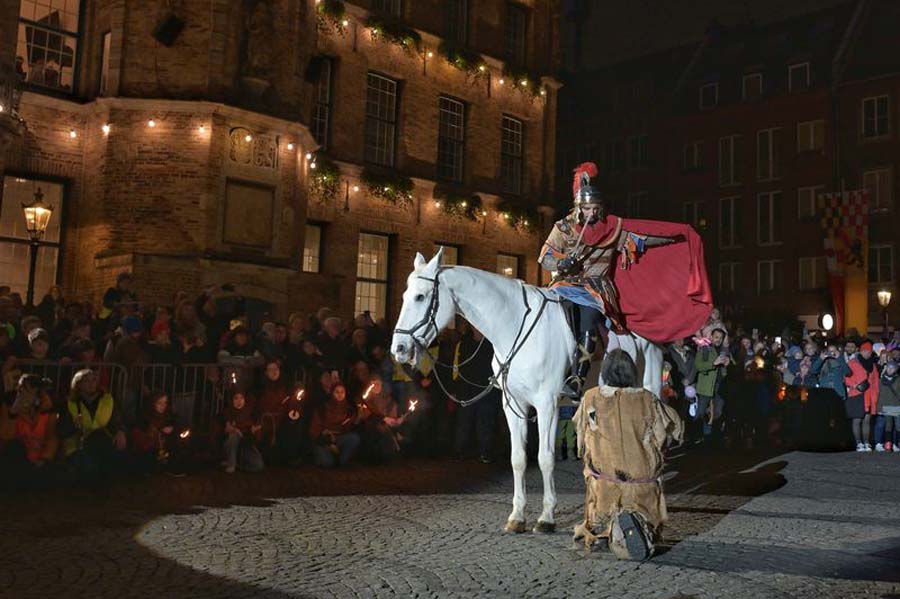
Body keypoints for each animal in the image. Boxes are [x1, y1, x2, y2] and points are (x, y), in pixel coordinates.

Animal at [388, 250, 660, 536]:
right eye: (405, 296)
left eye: (420, 296)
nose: (399, 348)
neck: (514, 325)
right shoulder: (513, 405)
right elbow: (518, 459)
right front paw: (517, 516)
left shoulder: (547, 405)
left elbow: (545, 458)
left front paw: (547, 517)